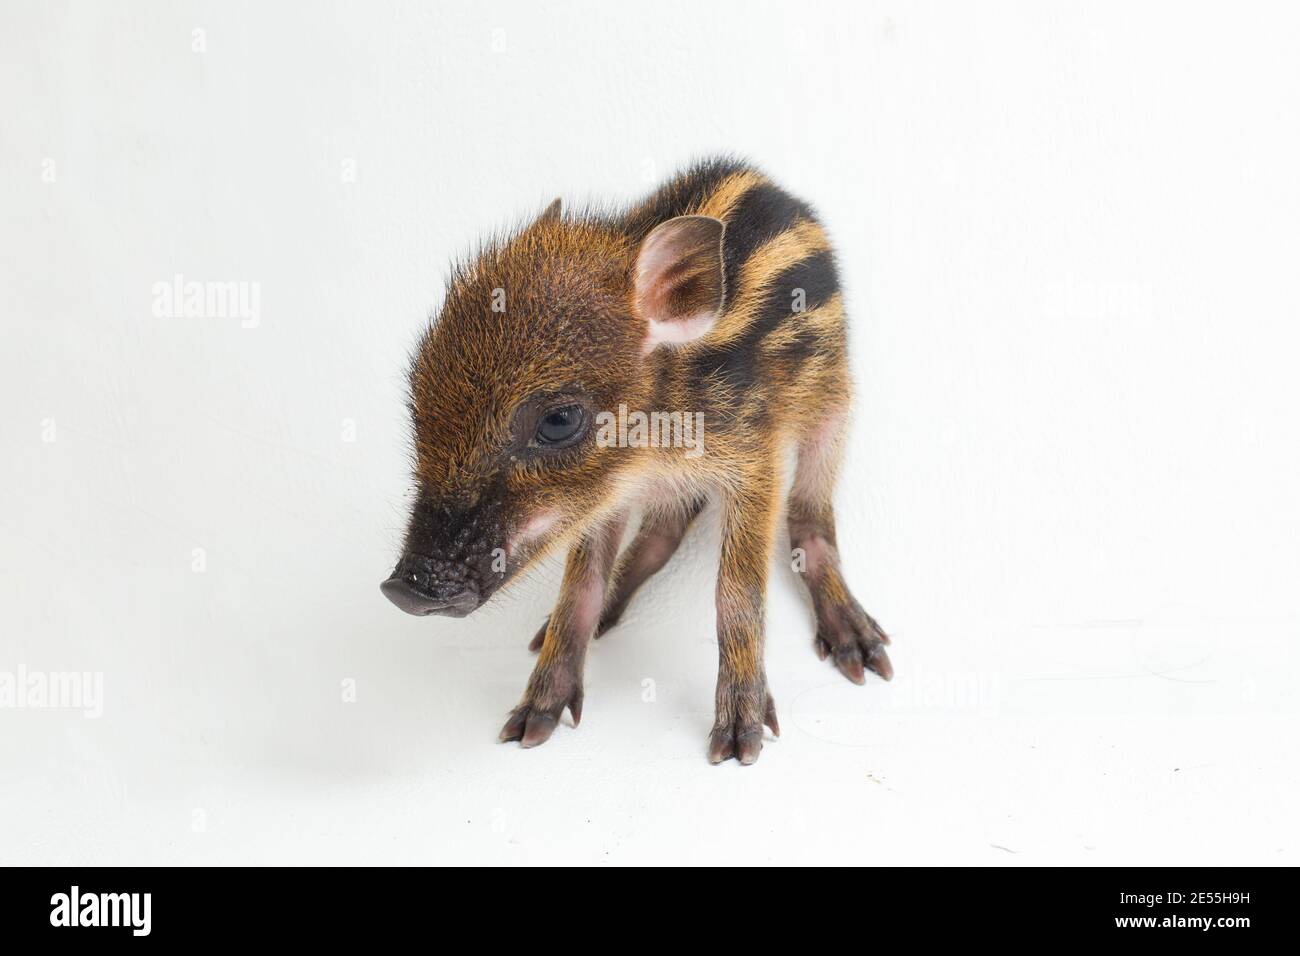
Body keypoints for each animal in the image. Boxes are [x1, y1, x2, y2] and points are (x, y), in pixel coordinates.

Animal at [381, 158, 892, 764]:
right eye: (416, 393)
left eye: (559, 420)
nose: (405, 590)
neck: (654, 448)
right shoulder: (599, 499)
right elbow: (580, 589)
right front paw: (533, 718)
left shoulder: (753, 459)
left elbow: (737, 595)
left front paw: (740, 739)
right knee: (663, 532)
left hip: (833, 403)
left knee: (810, 518)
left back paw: (858, 646)